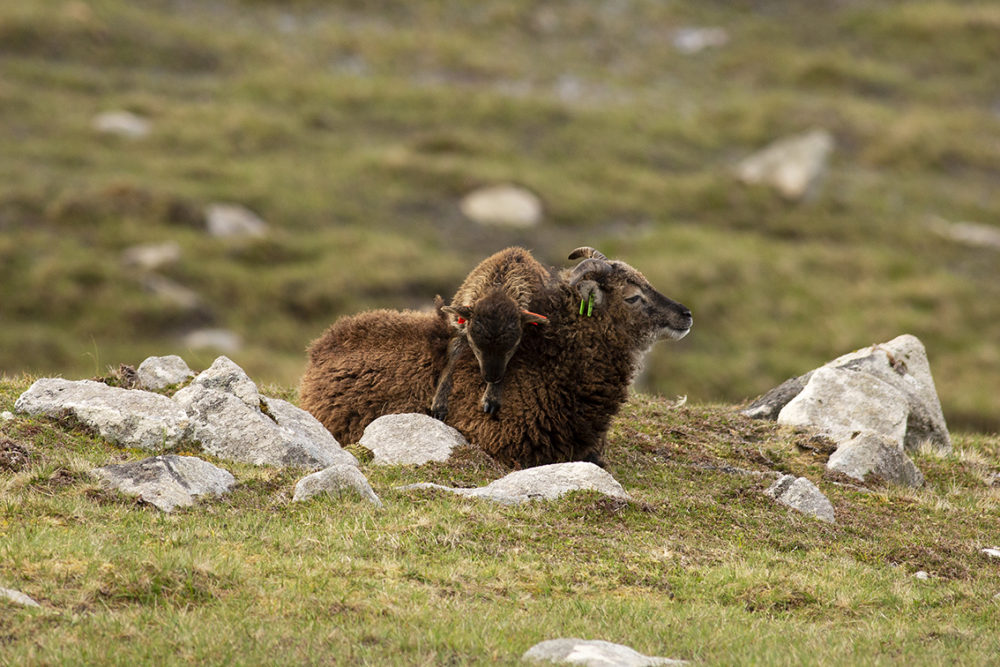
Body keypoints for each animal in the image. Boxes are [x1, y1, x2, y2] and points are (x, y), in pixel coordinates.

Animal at [434, 245, 552, 422]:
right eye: (476, 347)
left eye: (511, 349)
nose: (491, 378)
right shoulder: (460, 330)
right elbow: (452, 358)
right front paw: (439, 404)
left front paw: (491, 399)